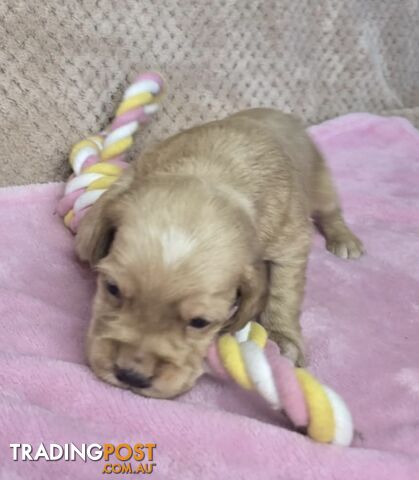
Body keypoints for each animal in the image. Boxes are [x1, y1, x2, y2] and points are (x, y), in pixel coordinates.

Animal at [76, 109, 364, 398]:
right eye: (112, 289)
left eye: (200, 322)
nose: (131, 376)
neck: (210, 172)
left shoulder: (291, 241)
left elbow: (283, 293)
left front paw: (282, 338)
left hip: (320, 183)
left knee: (331, 211)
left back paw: (345, 239)